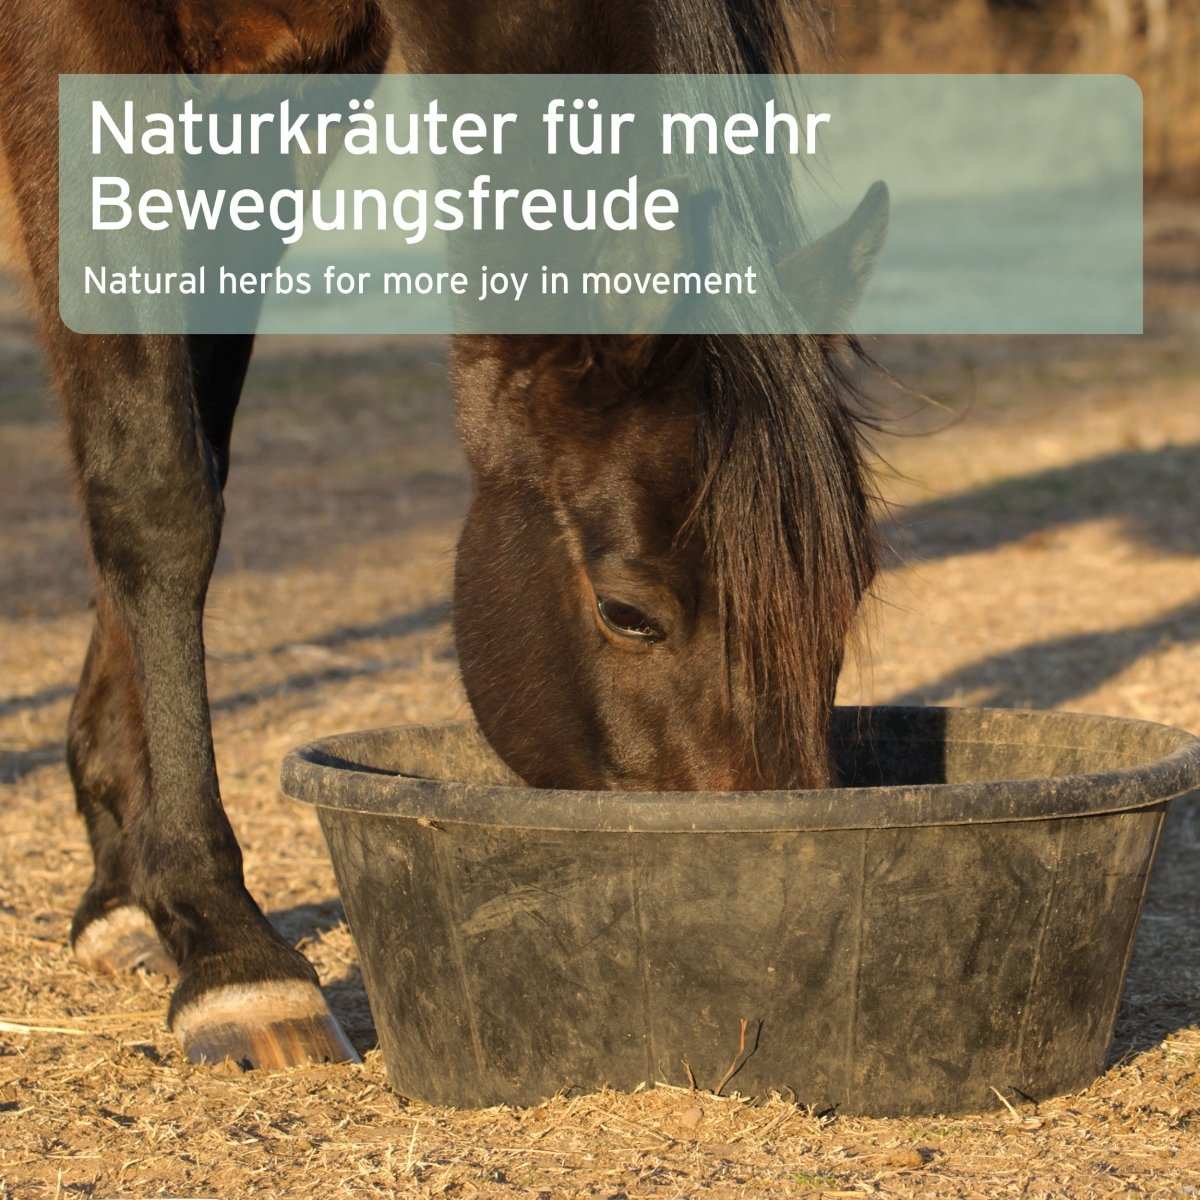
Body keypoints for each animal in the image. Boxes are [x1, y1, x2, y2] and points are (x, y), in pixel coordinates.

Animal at [0, 0, 883, 1071]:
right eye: (628, 613)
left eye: (853, 591)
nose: (765, 910)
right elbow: (156, 484)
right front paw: (228, 949)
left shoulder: (300, 78)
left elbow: (197, 438)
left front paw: (127, 887)